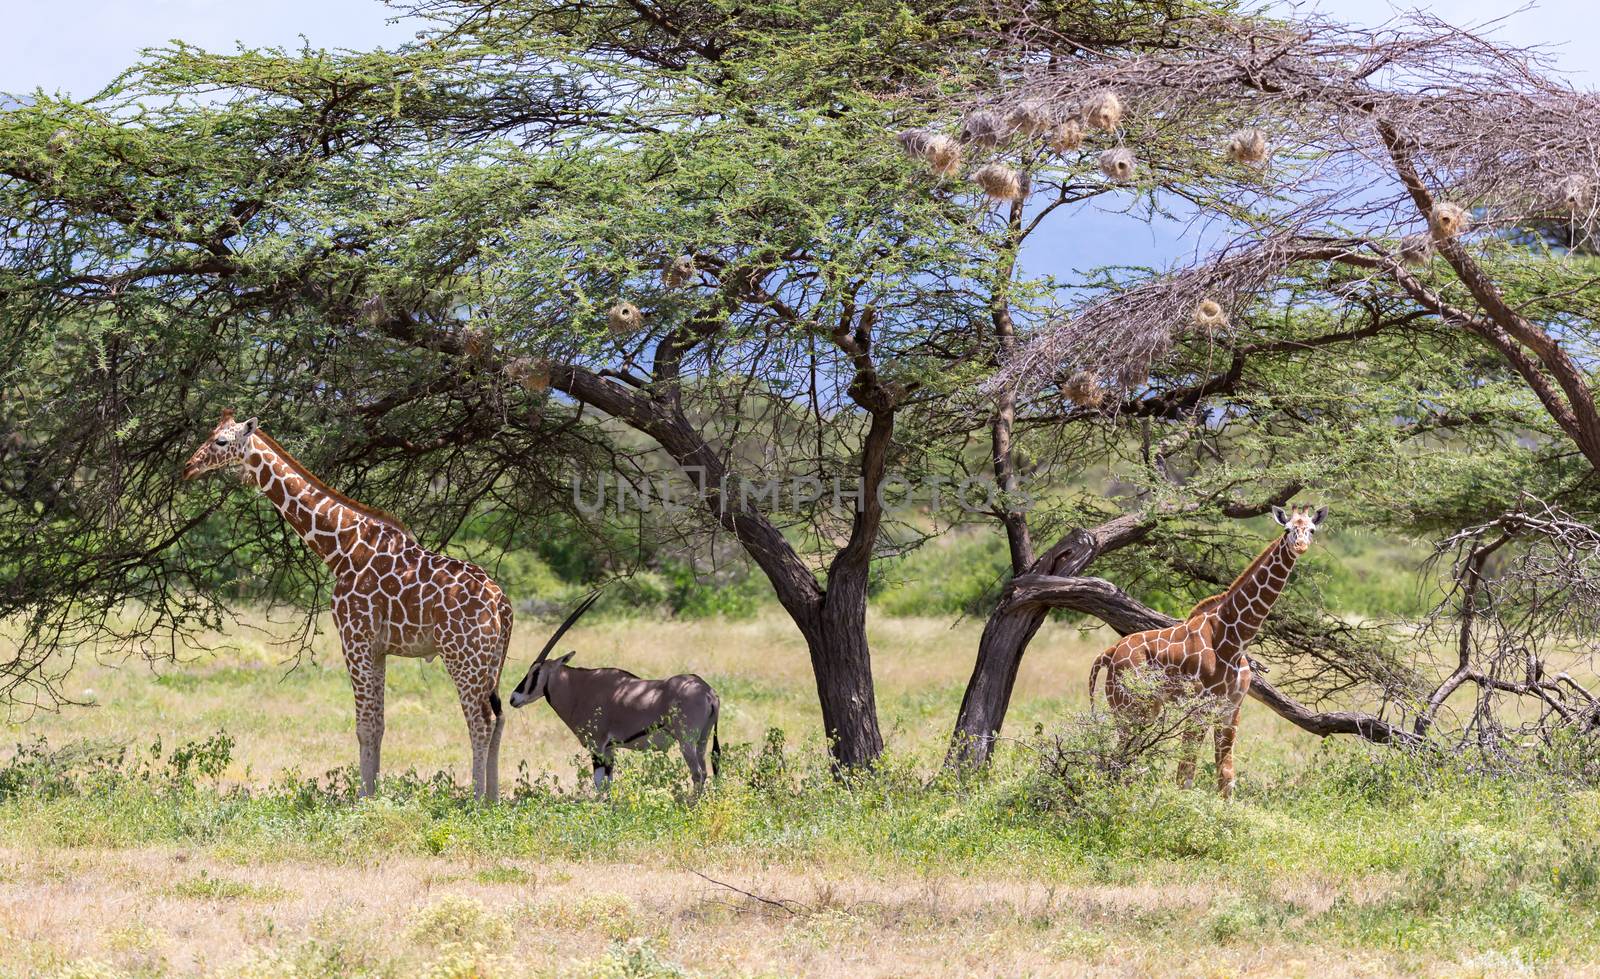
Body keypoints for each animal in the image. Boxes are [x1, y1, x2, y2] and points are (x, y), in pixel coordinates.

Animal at [184, 412, 515, 803]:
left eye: (221, 441)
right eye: (209, 434)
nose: (188, 467)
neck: (340, 547)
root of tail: (502, 603)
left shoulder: (354, 637)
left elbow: (364, 725)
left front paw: (363, 798)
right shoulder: (378, 647)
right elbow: (379, 723)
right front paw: (374, 793)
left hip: (463, 654)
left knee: (479, 721)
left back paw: (476, 800)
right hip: (491, 661)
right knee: (498, 718)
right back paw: (493, 800)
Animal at [508, 595, 723, 796]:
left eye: (535, 672)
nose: (513, 698)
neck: (579, 688)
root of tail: (708, 692)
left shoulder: (597, 745)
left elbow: (599, 783)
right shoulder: (610, 748)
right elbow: (608, 783)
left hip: (686, 741)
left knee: (698, 774)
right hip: (702, 740)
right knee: (705, 771)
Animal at [1088, 505, 1324, 796]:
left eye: (1311, 529)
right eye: (1288, 529)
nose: (1300, 546)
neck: (1234, 640)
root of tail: (1110, 652)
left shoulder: (1231, 709)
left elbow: (1226, 777)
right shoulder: (1199, 706)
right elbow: (1185, 776)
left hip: (1147, 708)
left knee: (1123, 761)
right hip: (1128, 706)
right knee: (1115, 760)